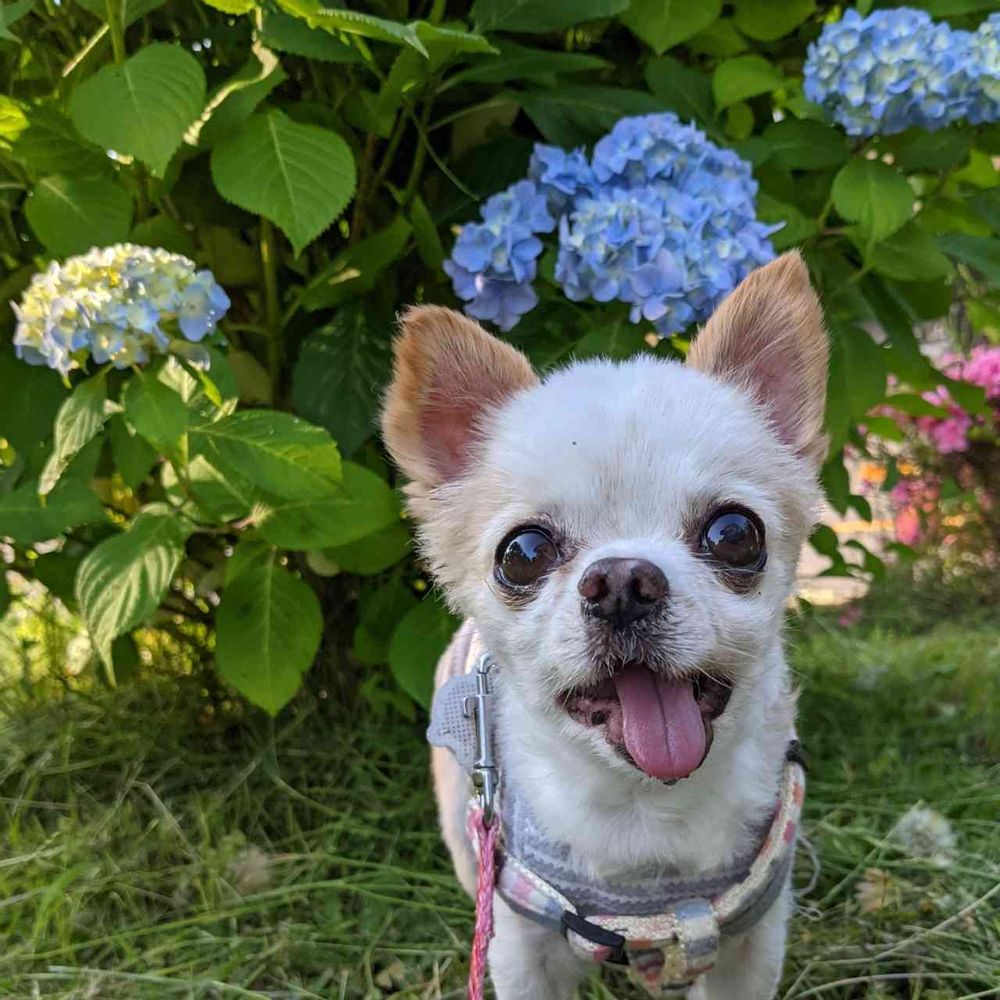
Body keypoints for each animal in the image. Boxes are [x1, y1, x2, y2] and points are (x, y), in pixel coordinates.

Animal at [380, 251, 828, 999]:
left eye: (735, 534)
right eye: (523, 553)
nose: (622, 583)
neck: (646, 818)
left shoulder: (751, 942)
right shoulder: (521, 947)